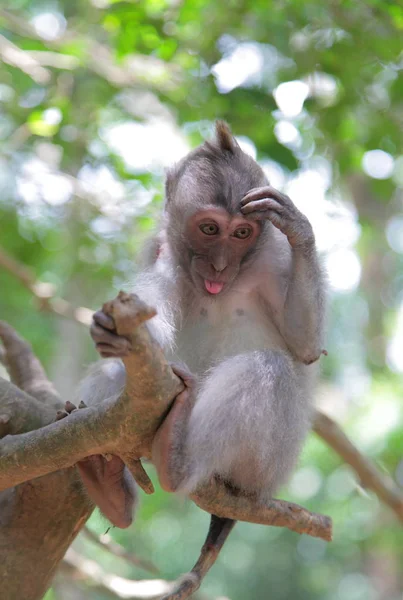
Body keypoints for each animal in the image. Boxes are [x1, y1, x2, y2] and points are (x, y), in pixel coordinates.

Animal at [75, 122, 328, 528]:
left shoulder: (276, 257)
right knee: (117, 371)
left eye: (241, 233)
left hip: (267, 467)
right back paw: (111, 490)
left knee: (267, 367)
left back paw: (177, 462)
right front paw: (111, 330)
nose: (220, 265)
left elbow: (305, 346)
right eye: (209, 228)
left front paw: (299, 229)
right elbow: (153, 324)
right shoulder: (161, 250)